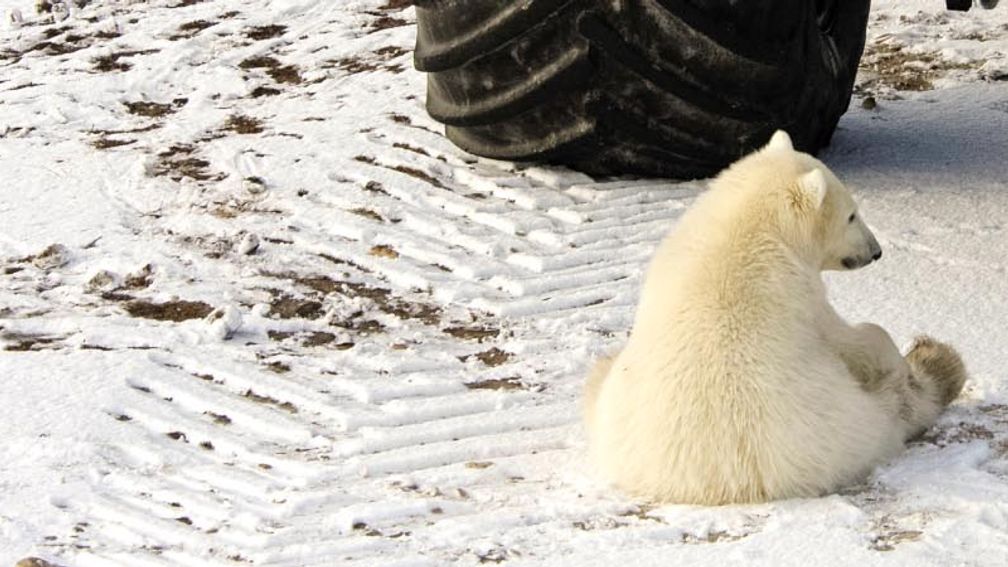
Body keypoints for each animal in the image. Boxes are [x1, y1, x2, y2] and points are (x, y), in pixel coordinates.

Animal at [584, 131, 967, 505]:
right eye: (851, 215)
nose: (876, 252)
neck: (749, 229)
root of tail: (712, 484)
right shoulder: (798, 290)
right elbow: (850, 338)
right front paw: (892, 349)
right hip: (839, 422)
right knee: (899, 405)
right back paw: (938, 361)